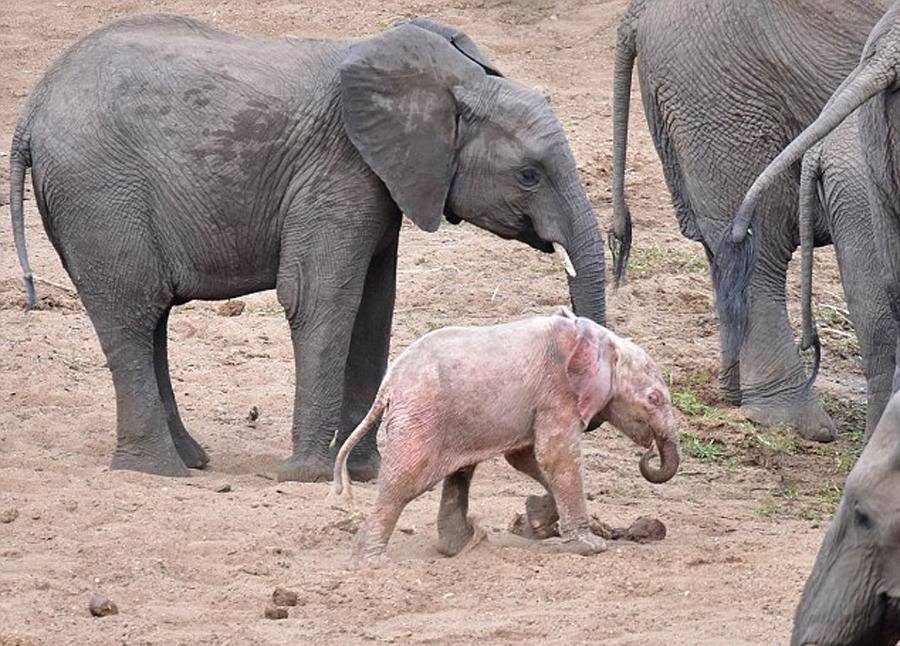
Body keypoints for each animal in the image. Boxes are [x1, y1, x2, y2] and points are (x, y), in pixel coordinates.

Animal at [8, 15, 604, 484]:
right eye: (528, 175)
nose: (590, 421)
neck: (453, 84)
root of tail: (31, 109)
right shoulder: (338, 171)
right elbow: (322, 300)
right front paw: (309, 475)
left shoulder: (378, 182)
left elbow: (373, 310)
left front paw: (366, 473)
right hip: (100, 193)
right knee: (132, 314)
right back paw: (160, 471)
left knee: (149, 317)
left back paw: (192, 460)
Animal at [334, 308, 680, 560]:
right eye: (654, 399)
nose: (650, 452)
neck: (597, 340)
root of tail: (388, 385)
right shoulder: (557, 392)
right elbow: (555, 456)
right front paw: (591, 546)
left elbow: (526, 458)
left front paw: (537, 519)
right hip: (421, 417)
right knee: (403, 481)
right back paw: (372, 561)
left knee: (460, 472)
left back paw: (462, 545)